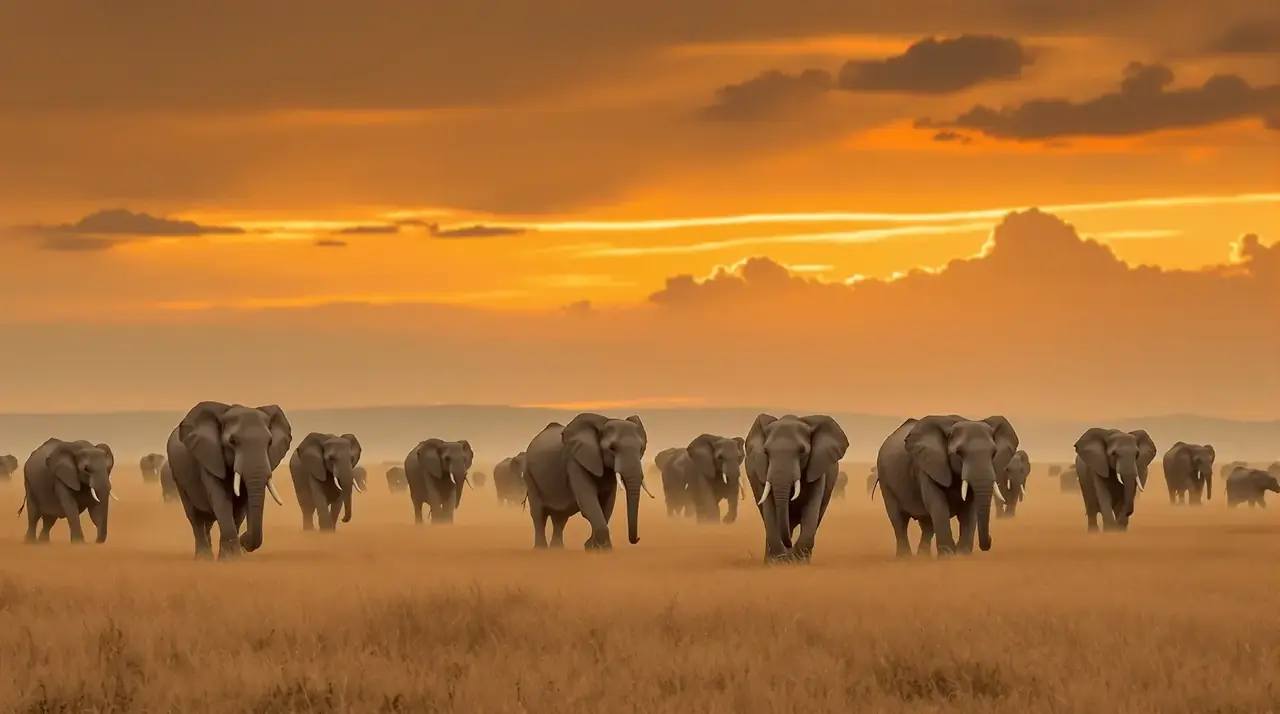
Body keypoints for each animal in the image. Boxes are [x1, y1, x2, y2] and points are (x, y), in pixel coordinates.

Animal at [165, 401, 293, 560]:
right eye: (232, 441)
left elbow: (240, 508)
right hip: (179, 478)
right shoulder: (209, 457)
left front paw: (233, 558)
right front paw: (229, 559)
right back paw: (203, 559)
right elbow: (221, 501)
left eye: (269, 442)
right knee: (195, 517)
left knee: (208, 521)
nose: (244, 541)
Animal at [523, 413, 647, 550]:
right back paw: (541, 549)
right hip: (530, 476)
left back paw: (557, 549)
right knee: (539, 514)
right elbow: (589, 502)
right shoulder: (574, 461)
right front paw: (603, 549)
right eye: (612, 448)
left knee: (560, 517)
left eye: (641, 448)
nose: (637, 538)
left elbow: (607, 504)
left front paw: (592, 548)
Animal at [745, 413, 850, 563]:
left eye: (802, 451)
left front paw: (799, 562)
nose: (788, 546)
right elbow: (770, 508)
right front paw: (777, 562)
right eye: (766, 452)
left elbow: (812, 507)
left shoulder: (817, 467)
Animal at [875, 415, 1018, 558]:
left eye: (994, 453)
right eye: (959, 453)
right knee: (899, 520)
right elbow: (938, 505)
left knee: (927, 525)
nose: (990, 540)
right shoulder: (928, 466)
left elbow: (970, 508)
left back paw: (923, 557)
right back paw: (905, 558)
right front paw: (948, 555)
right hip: (885, 478)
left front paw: (962, 554)